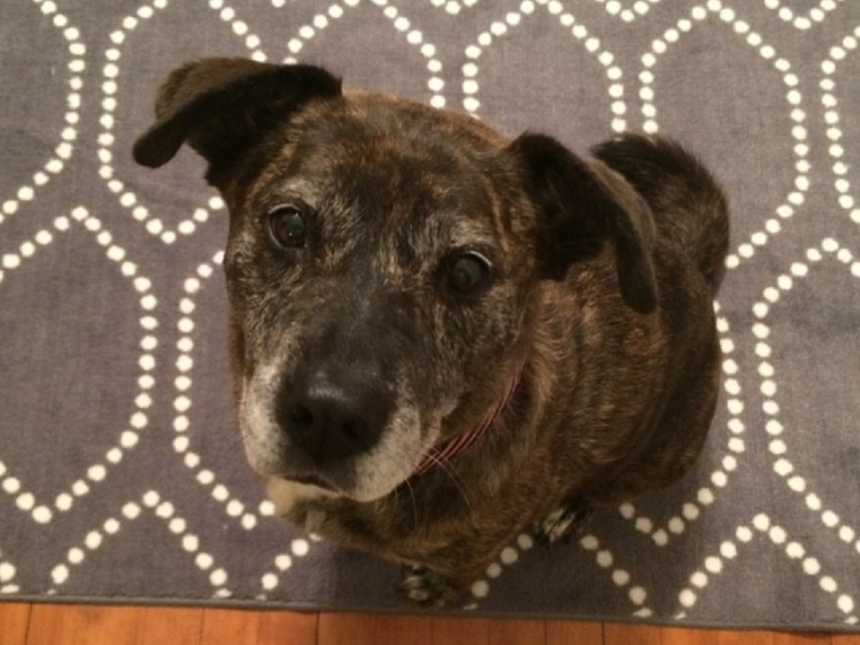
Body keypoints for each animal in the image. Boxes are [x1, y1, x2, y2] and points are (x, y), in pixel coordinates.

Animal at [131, 56, 728, 604]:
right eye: (290, 224)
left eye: (466, 272)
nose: (328, 417)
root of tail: (693, 266)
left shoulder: (472, 555)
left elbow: (454, 580)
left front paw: (433, 589)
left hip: (656, 459)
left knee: (606, 487)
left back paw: (569, 508)